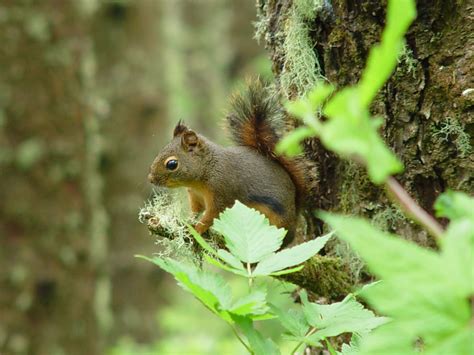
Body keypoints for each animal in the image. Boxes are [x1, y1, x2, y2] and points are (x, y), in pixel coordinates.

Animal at [148, 80, 314, 246]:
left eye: (172, 164)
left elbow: (211, 216)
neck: (204, 173)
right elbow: (196, 211)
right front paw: (188, 221)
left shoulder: (222, 194)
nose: (150, 179)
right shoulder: (196, 197)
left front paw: (197, 229)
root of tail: (295, 214)